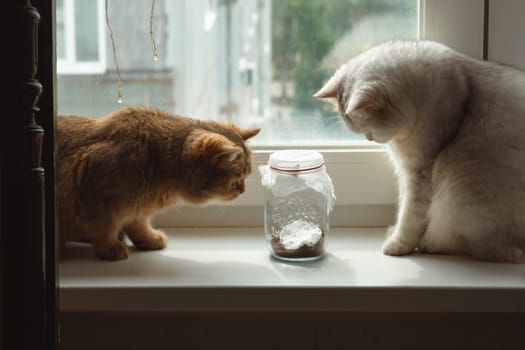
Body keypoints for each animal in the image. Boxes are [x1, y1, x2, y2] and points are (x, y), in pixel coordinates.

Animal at [314, 40, 524, 262]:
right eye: (362, 132)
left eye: (368, 130)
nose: (369, 139)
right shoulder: (405, 172)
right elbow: (403, 208)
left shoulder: (419, 171)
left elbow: (409, 216)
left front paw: (398, 244)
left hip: (457, 189)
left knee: (475, 247)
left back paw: (429, 244)